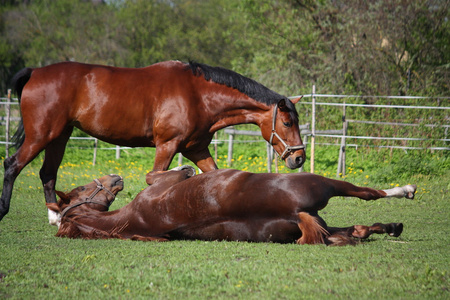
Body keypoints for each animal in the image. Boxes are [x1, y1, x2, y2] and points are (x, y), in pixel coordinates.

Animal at [0, 60, 306, 223]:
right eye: (287, 123)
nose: (299, 158)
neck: (198, 95)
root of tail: (36, 72)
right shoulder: (168, 145)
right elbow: (155, 177)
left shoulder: (196, 149)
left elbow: (214, 175)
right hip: (41, 135)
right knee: (12, 164)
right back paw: (4, 211)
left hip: (59, 137)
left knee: (47, 173)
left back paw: (56, 217)